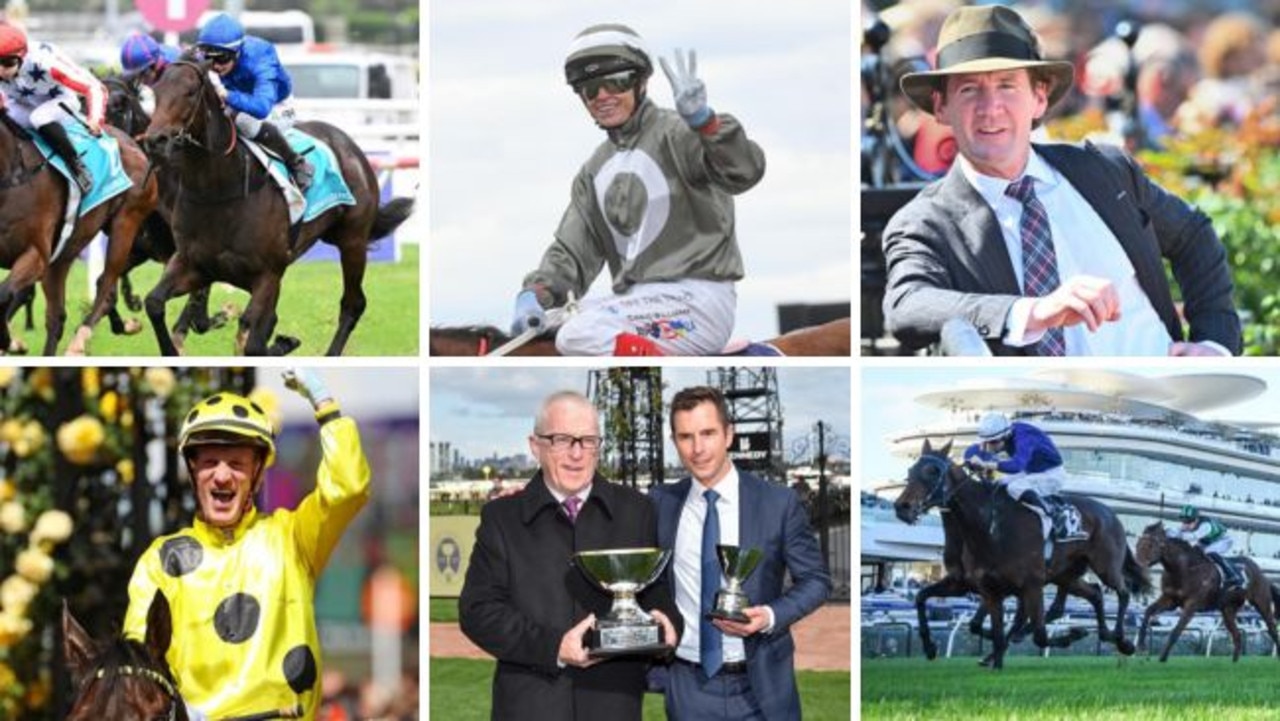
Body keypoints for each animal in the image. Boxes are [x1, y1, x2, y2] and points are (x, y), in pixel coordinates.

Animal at [0, 110, 156, 356]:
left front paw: (11, 342)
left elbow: (5, 294)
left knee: (106, 285)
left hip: (126, 223)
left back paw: (80, 340)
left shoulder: (36, 255)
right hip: (64, 255)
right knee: (56, 317)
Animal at [145, 59, 414, 356]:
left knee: (353, 304)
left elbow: (253, 341)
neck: (219, 191)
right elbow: (154, 302)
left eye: (191, 92)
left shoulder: (268, 274)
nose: (155, 140)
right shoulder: (194, 264)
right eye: (156, 92)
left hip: (352, 240)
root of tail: (350, 146)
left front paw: (283, 343)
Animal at [890, 440, 1152, 671]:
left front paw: (1073, 634)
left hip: (1105, 566)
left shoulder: (1029, 584)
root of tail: (1112, 514)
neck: (990, 528)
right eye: (911, 471)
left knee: (1122, 593)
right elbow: (923, 598)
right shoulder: (976, 585)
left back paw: (1123, 640)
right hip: (1066, 575)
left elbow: (1037, 634)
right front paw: (931, 647)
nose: (902, 507)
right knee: (1091, 596)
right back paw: (1107, 634)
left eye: (933, 471)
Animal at [1136, 522, 1274, 660]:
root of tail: (1258, 570)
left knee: (1271, 629)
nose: (1138, 565)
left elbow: (1176, 631)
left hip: (1261, 603)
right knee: (1237, 636)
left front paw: (1162, 658)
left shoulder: (1192, 605)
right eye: (1137, 544)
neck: (1183, 569)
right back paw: (1234, 662)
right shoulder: (1170, 600)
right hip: (1228, 609)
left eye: (1150, 545)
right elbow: (1148, 611)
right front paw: (1141, 646)